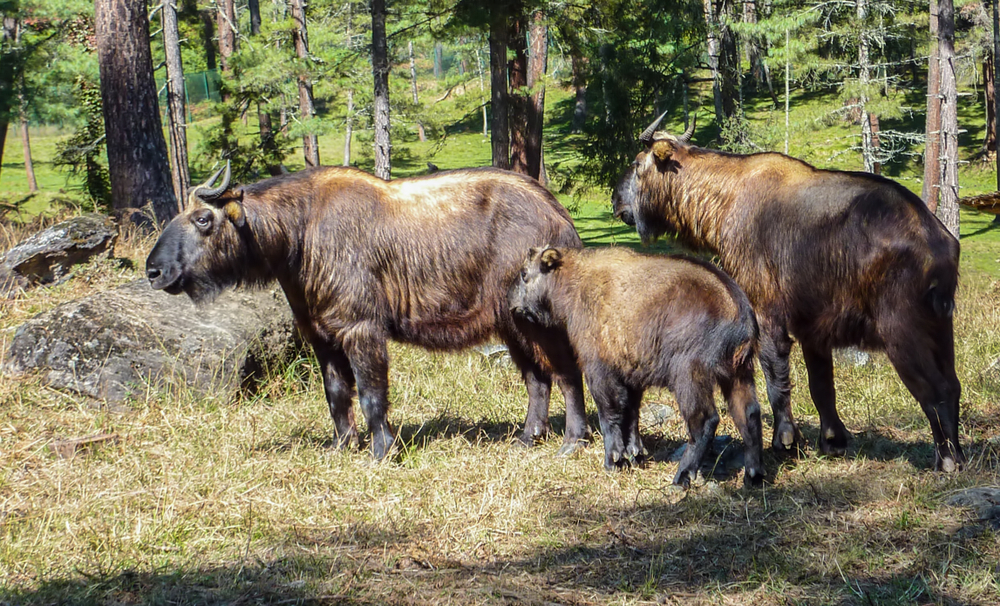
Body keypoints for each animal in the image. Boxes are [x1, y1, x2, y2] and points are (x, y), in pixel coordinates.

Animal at [146, 164, 584, 458]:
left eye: (203, 218)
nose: (153, 270)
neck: (301, 232)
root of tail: (560, 215)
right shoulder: (322, 336)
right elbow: (337, 395)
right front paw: (342, 446)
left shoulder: (361, 329)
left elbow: (373, 394)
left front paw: (382, 450)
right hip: (512, 325)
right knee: (537, 380)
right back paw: (528, 437)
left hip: (536, 324)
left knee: (567, 374)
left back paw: (573, 440)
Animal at [512, 247, 760, 490]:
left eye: (524, 273)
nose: (511, 302)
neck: (576, 283)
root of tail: (741, 313)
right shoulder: (632, 376)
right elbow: (631, 415)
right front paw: (635, 455)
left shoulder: (599, 371)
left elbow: (610, 415)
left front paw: (613, 461)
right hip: (739, 375)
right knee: (749, 415)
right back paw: (754, 474)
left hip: (689, 377)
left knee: (705, 422)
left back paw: (681, 477)